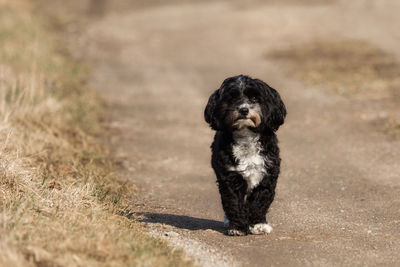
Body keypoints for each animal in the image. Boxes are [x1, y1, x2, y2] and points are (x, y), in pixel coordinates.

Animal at [205, 74, 286, 236]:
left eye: (254, 98)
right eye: (232, 98)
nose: (243, 109)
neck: (246, 135)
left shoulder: (267, 175)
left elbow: (260, 202)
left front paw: (258, 224)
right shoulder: (230, 177)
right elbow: (234, 202)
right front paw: (237, 227)